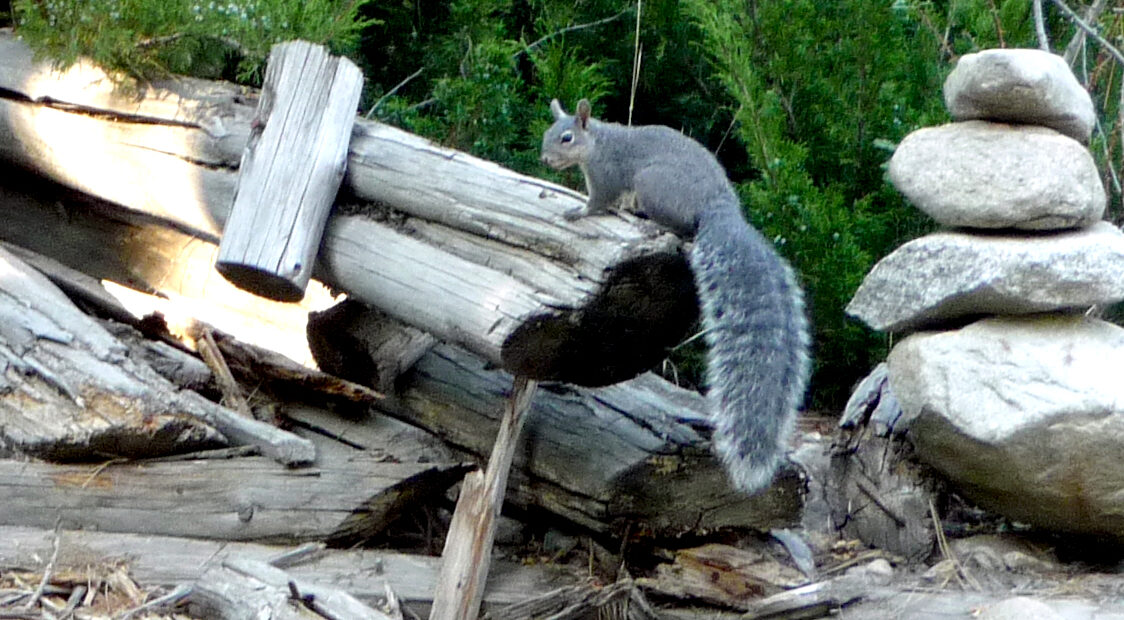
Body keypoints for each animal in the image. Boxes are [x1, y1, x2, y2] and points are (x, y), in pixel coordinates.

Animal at [537, 98, 809, 494]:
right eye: (548, 133)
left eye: (567, 138)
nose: (545, 159)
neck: (599, 143)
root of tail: (717, 207)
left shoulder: (607, 175)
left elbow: (597, 202)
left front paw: (578, 212)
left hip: (652, 184)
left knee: (682, 229)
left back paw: (653, 225)